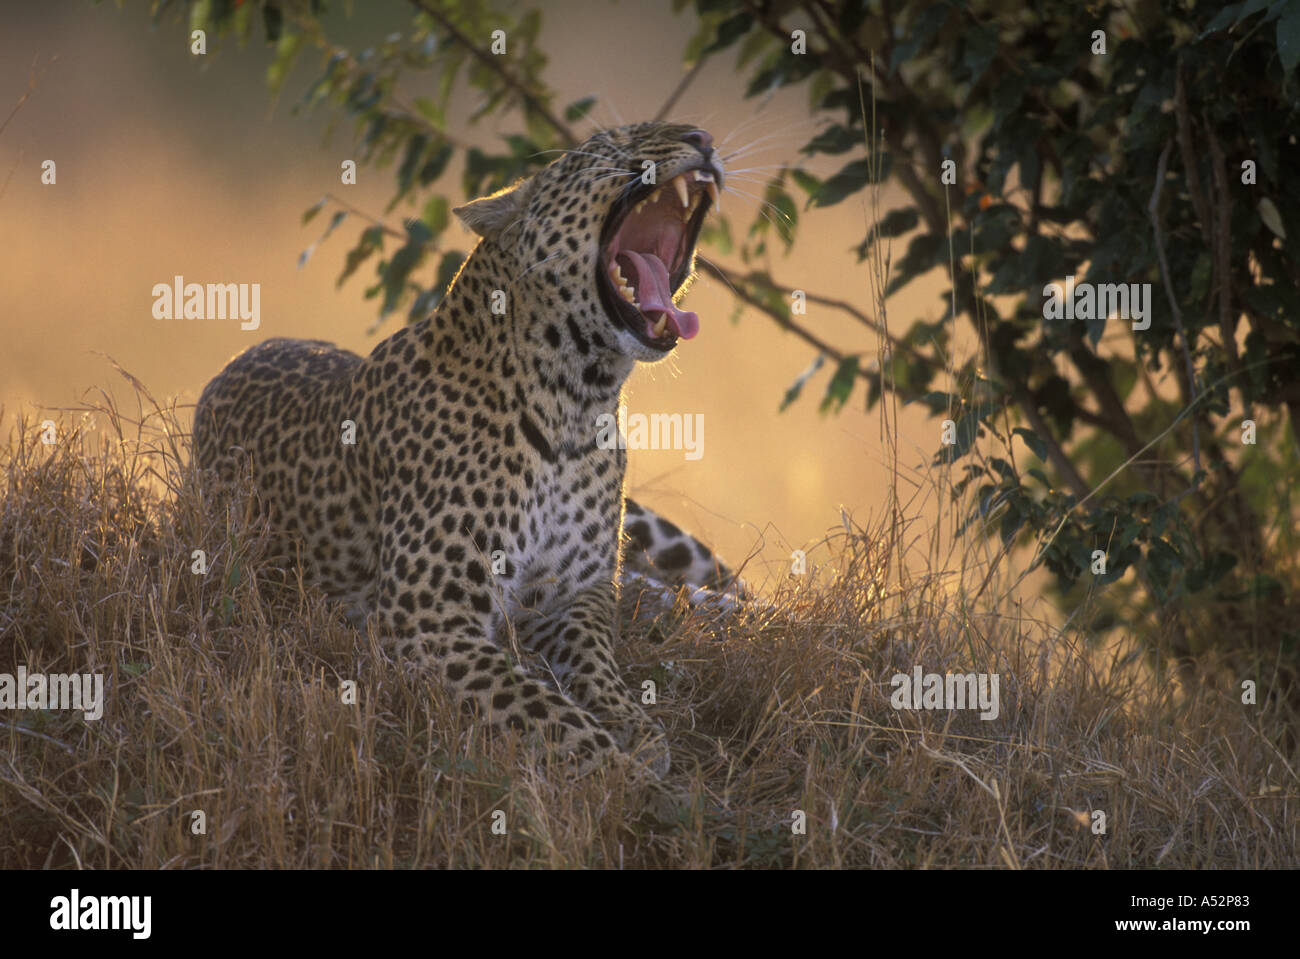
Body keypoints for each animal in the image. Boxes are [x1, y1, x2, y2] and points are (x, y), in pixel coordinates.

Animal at [193, 121, 742, 781]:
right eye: (611, 144)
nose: (702, 136)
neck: (577, 403)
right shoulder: (430, 623)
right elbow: (541, 706)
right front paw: (622, 770)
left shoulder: (576, 595)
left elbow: (598, 665)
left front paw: (635, 730)